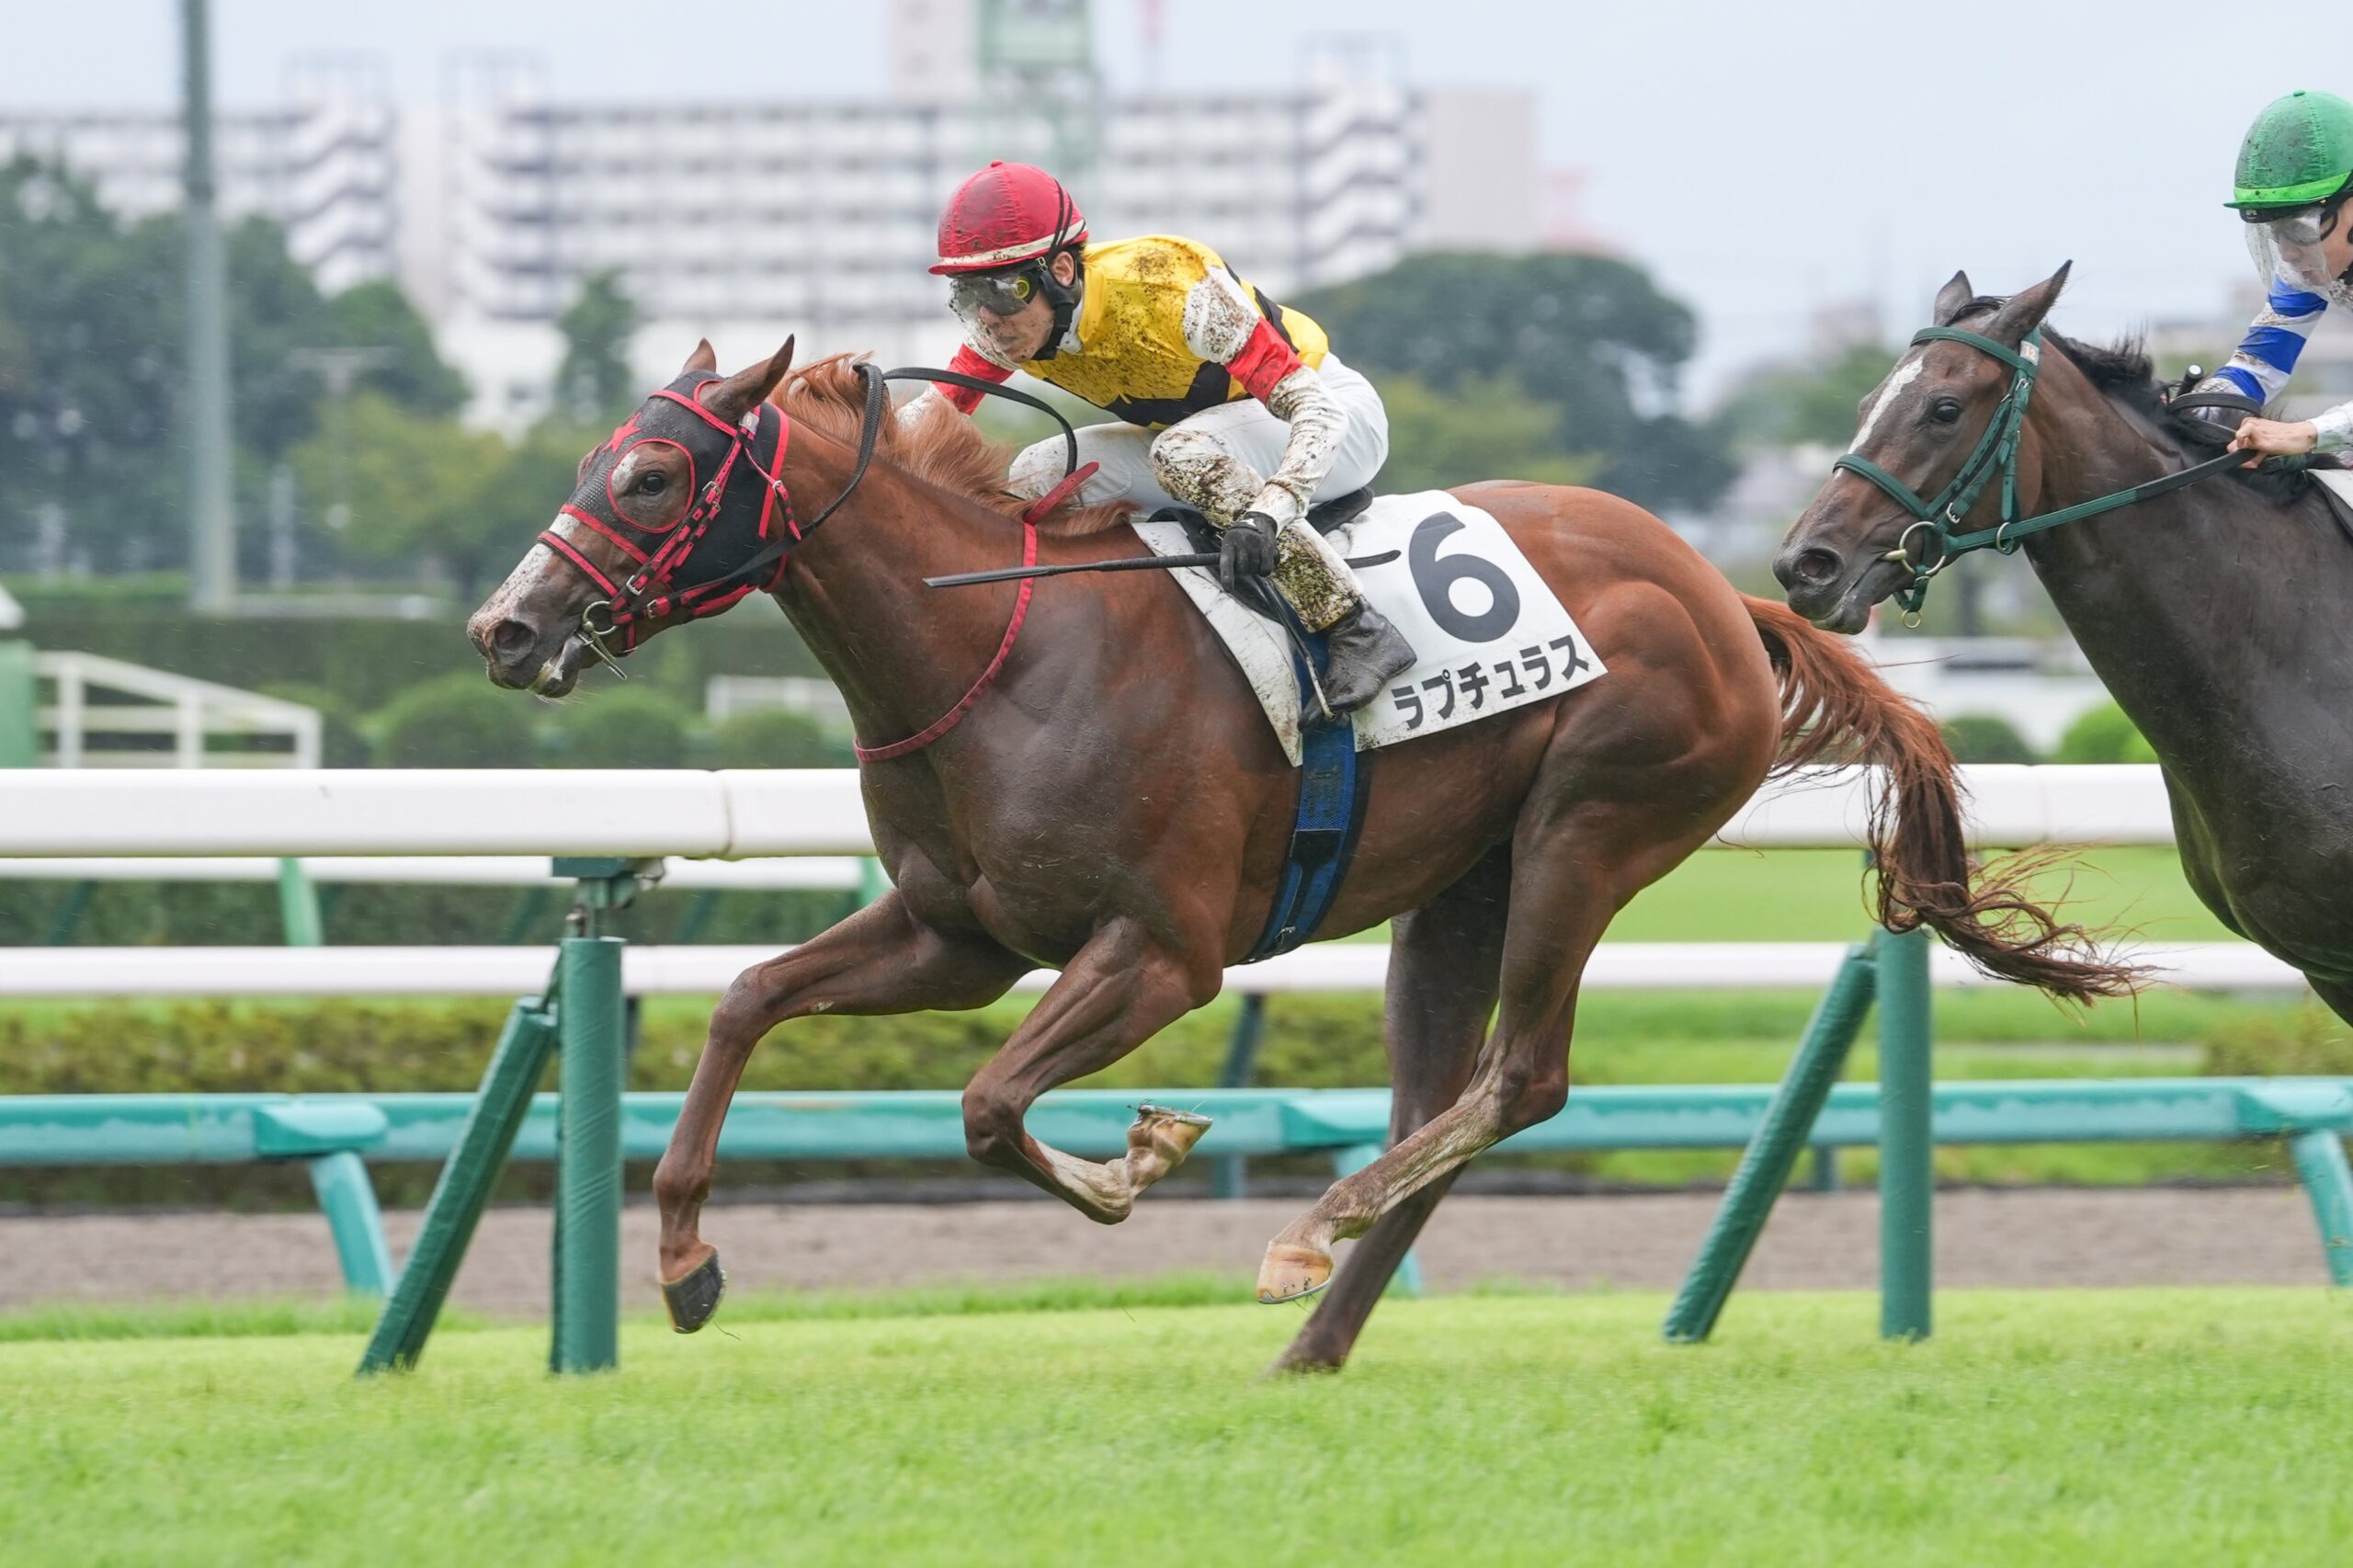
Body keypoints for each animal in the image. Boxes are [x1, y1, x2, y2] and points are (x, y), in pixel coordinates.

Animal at [468, 339, 2131, 1374]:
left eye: (651, 480)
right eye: (598, 460)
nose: (505, 625)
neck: (997, 648)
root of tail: (1732, 597)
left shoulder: (1164, 952)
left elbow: (992, 1106)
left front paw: (1138, 1158)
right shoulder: (960, 935)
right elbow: (752, 1000)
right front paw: (685, 1260)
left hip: (1590, 828)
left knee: (1519, 1080)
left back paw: (1301, 1237)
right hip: (1460, 890)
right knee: (1443, 1101)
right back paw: (1315, 1334)